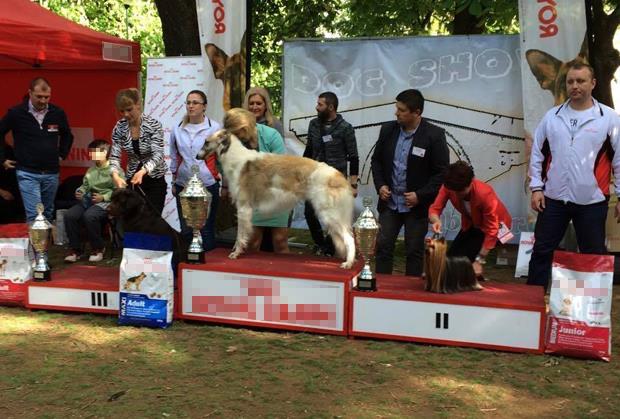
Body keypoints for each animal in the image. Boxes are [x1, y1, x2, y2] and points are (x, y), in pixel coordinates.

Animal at [197, 130, 356, 269]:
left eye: (206, 142)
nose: (197, 156)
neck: (236, 159)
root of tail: (338, 175)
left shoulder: (243, 208)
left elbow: (240, 235)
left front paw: (236, 253)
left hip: (329, 214)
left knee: (350, 238)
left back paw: (348, 263)